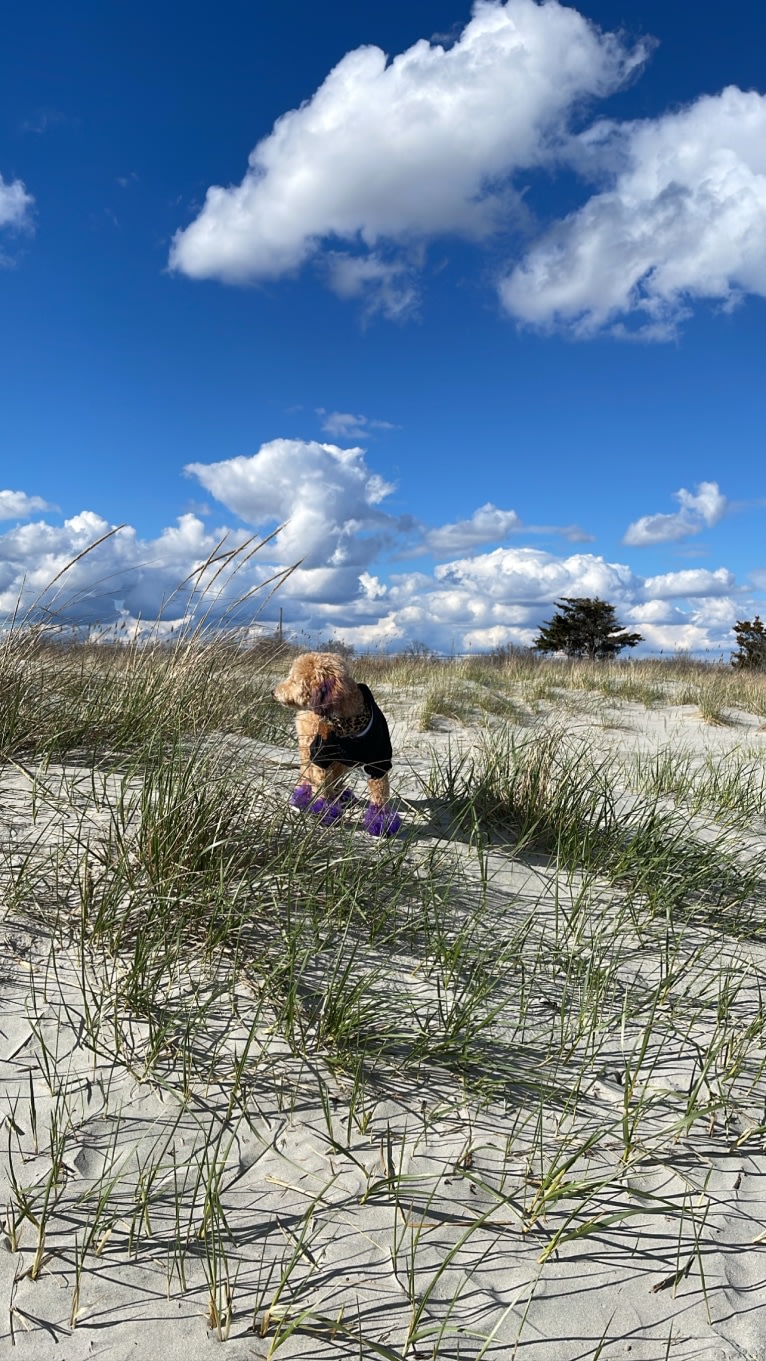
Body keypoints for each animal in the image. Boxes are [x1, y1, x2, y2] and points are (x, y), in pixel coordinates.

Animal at [272, 650, 402, 832]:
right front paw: (325, 814)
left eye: (294, 680)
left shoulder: (378, 764)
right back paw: (303, 798)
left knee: (334, 777)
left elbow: (380, 795)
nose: (273, 692)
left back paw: (340, 796)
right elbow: (321, 787)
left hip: (341, 762)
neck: (347, 725)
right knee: (306, 773)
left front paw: (381, 823)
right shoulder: (320, 757)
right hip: (308, 748)